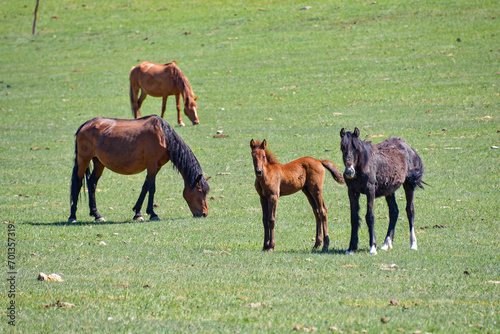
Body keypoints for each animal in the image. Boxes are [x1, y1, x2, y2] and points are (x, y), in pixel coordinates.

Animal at [68, 116, 209, 223]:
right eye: (200, 191)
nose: (204, 214)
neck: (163, 135)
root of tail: (85, 125)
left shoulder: (156, 166)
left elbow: (145, 187)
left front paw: (138, 213)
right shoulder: (152, 164)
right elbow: (152, 187)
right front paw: (153, 214)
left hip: (98, 162)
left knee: (92, 183)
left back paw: (97, 215)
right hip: (83, 160)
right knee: (78, 183)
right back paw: (72, 216)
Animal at [340, 126, 426, 254]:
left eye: (356, 148)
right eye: (342, 147)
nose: (349, 171)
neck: (363, 165)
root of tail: (409, 148)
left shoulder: (370, 190)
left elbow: (369, 216)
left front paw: (372, 247)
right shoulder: (352, 192)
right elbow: (354, 217)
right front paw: (351, 248)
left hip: (408, 185)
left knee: (410, 211)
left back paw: (413, 244)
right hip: (389, 190)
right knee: (394, 211)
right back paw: (386, 243)